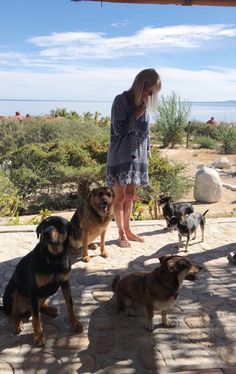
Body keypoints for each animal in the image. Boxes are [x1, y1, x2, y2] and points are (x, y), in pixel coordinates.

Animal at [1, 215, 83, 346]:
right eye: (44, 225)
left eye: (59, 224)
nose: (46, 233)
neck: (54, 258)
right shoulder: (33, 289)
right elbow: (36, 317)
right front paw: (38, 336)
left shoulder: (65, 283)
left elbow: (70, 305)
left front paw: (75, 324)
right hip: (12, 290)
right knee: (13, 313)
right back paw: (17, 323)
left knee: (39, 305)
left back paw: (50, 309)